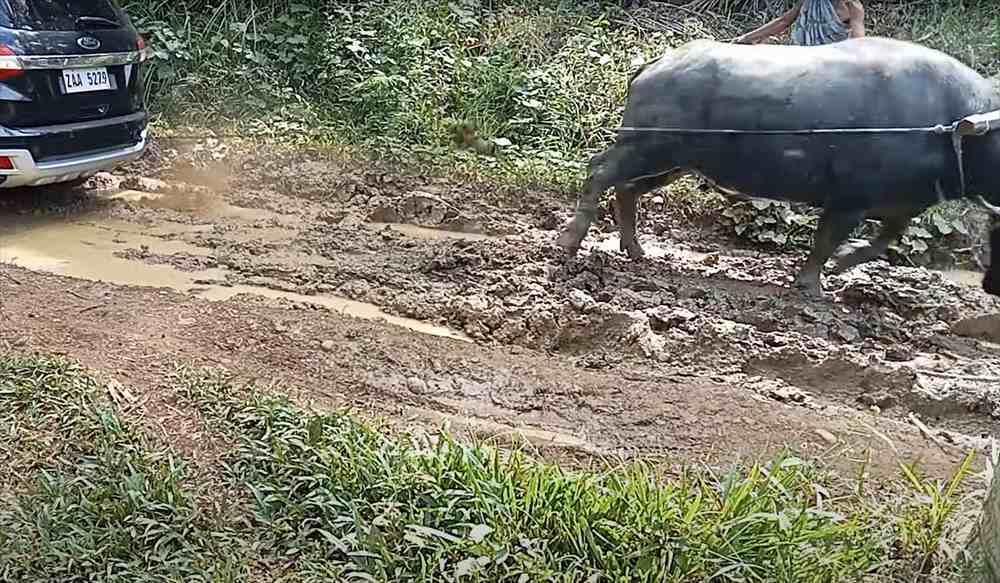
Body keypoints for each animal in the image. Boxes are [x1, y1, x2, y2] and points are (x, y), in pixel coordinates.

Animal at [556, 36, 1000, 296]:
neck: (948, 126)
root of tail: (653, 65)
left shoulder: (899, 206)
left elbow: (881, 241)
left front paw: (842, 265)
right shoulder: (848, 201)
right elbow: (826, 242)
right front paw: (813, 285)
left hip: (673, 161)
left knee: (627, 189)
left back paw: (635, 251)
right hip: (648, 146)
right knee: (599, 171)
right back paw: (568, 242)